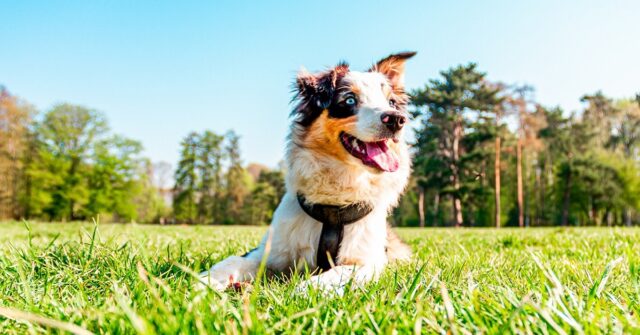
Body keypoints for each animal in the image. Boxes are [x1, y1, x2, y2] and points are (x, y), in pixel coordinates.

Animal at [201, 51, 420, 292]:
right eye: (349, 100)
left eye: (391, 102)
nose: (397, 119)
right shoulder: (268, 252)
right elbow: (231, 262)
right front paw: (201, 282)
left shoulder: (366, 261)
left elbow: (332, 275)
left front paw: (298, 292)